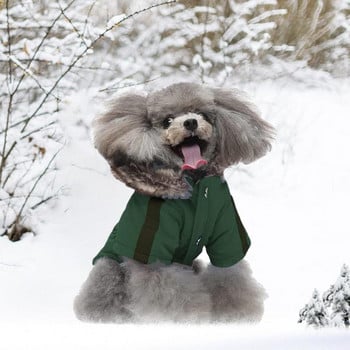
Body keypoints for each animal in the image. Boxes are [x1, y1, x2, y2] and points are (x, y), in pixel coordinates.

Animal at [74, 81, 274, 322]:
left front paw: (233, 318)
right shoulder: (153, 244)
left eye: (201, 114)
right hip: (109, 268)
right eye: (167, 121)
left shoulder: (228, 233)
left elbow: (231, 277)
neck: (197, 185)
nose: (190, 122)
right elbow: (170, 294)